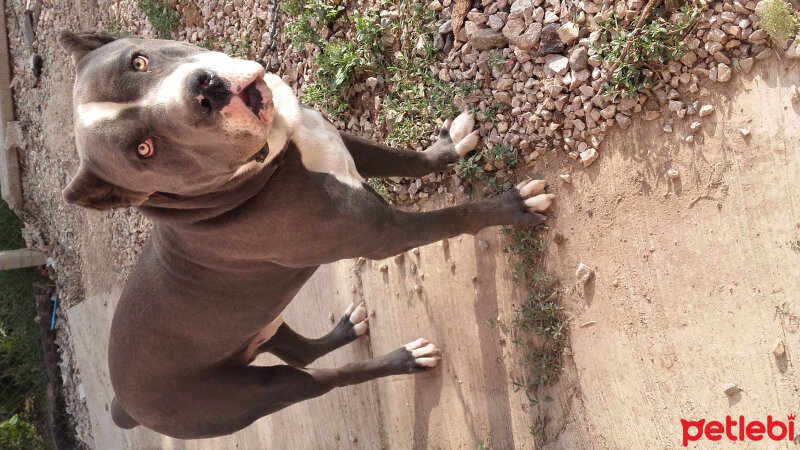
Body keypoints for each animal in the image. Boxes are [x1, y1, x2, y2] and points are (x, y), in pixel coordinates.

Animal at [57, 29, 556, 438]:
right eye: (145, 150)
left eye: (138, 61)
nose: (205, 90)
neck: (267, 168)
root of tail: (127, 406)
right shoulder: (385, 235)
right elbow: (459, 216)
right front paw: (514, 207)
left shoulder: (339, 142)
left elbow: (409, 161)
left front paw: (448, 146)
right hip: (252, 394)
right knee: (322, 378)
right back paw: (406, 360)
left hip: (260, 325)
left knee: (300, 352)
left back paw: (345, 330)